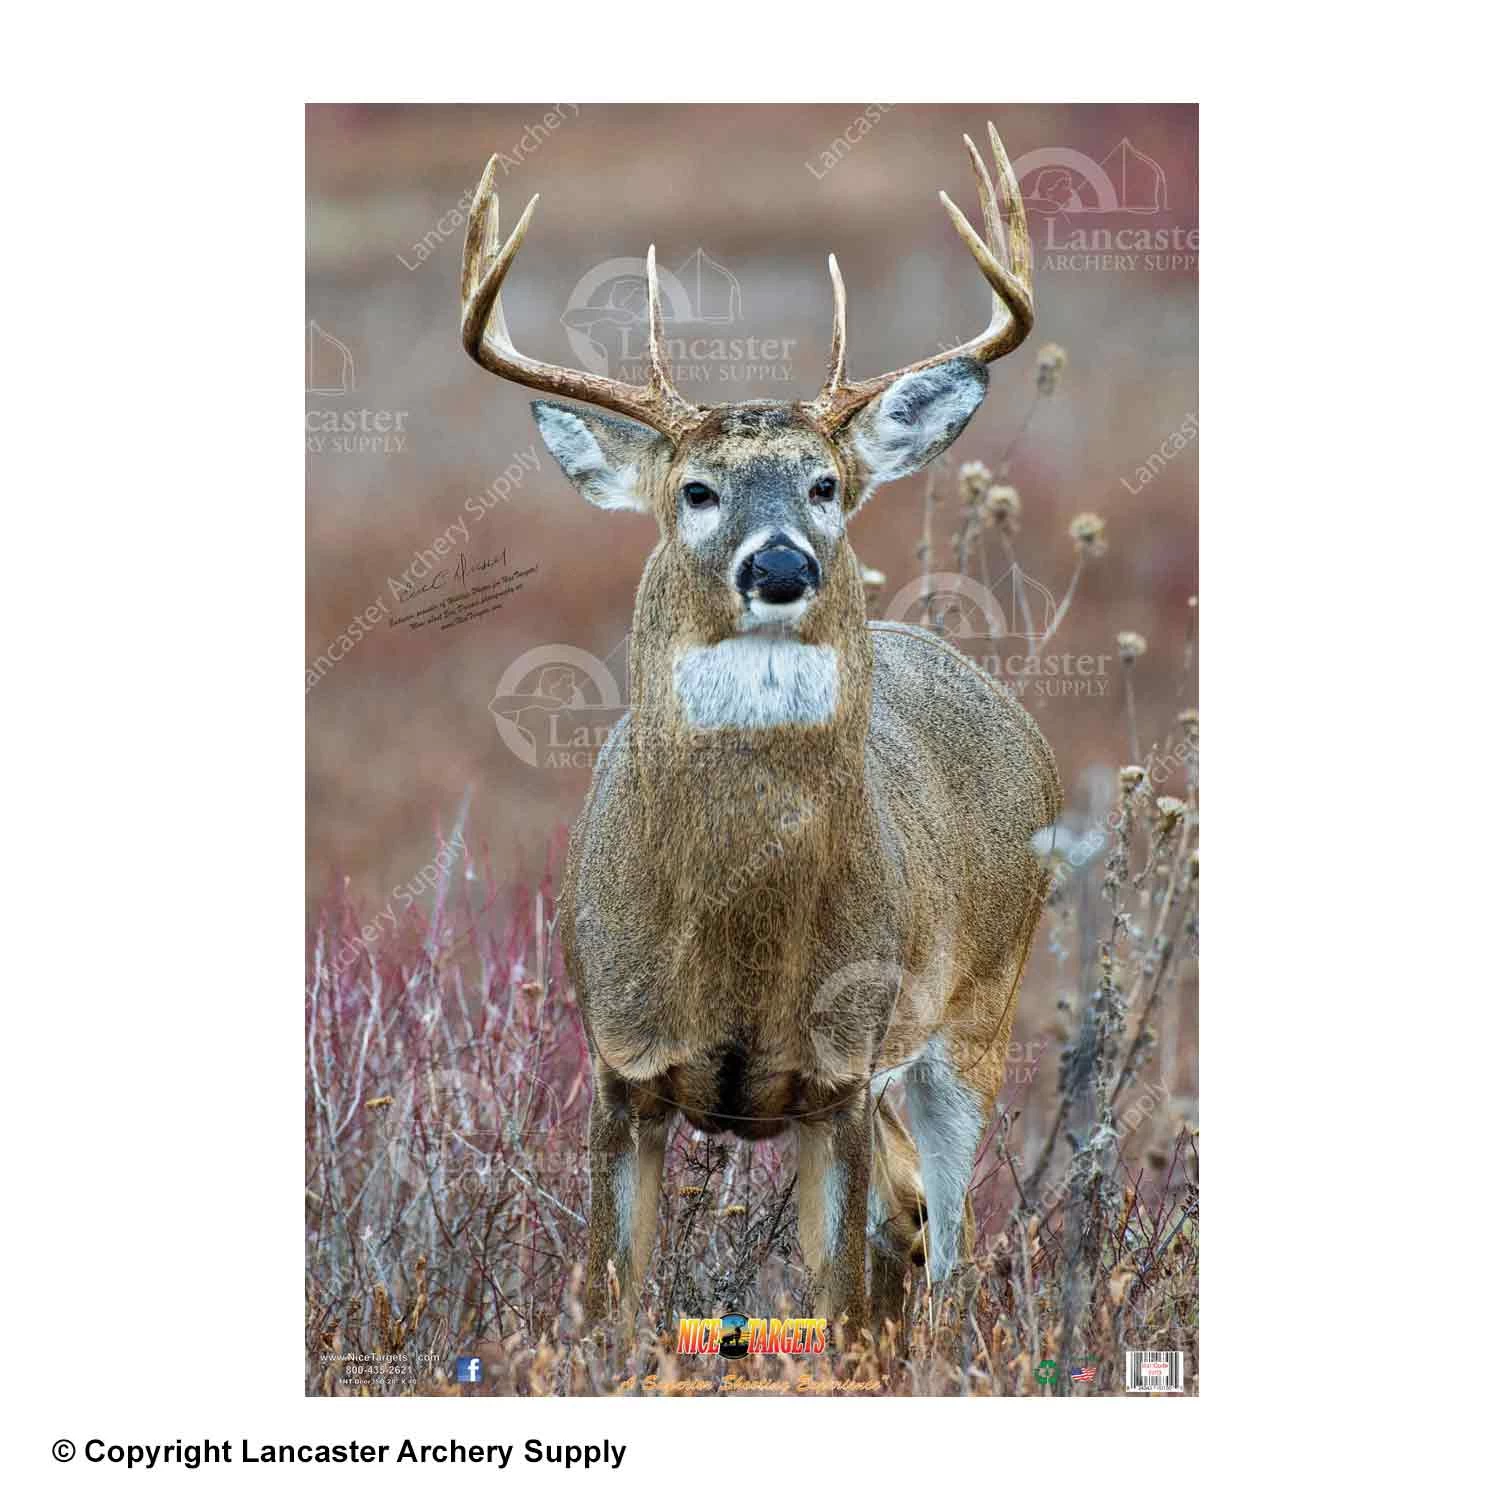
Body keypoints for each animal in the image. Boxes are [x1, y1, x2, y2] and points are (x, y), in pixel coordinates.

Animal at [460, 123, 1061, 1340]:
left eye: (827, 484)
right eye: (695, 490)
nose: (780, 565)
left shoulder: (839, 1073)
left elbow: (837, 1309)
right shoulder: (619, 1066)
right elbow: (614, 1301)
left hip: (974, 1015)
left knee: (943, 1244)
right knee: (908, 1221)